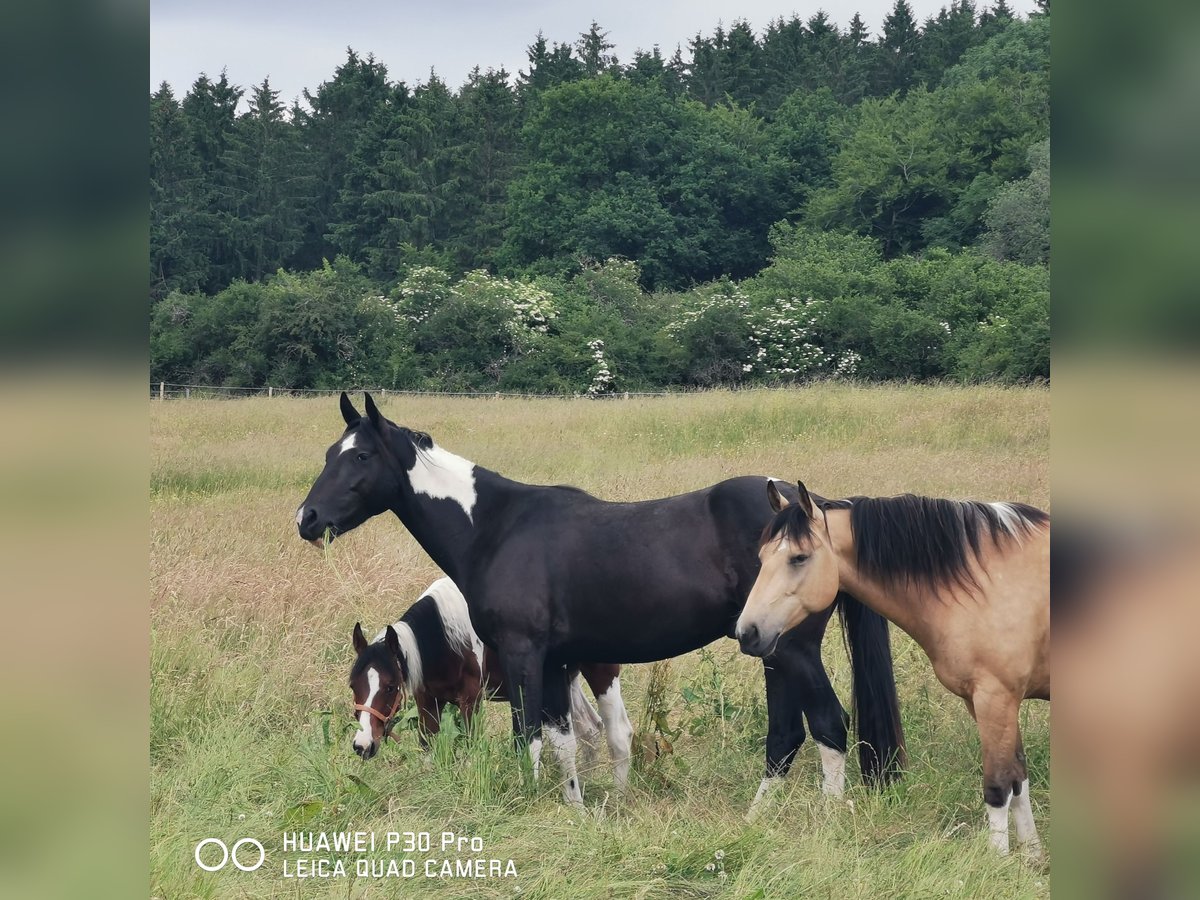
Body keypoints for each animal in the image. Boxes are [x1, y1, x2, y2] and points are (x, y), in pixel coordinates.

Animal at [349, 577, 633, 791]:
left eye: (390, 687)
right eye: (353, 686)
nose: (363, 745)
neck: (445, 635)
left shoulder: (470, 699)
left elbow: (473, 749)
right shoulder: (427, 700)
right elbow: (428, 750)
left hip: (600, 672)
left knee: (619, 732)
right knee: (591, 729)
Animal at [735, 480, 1049, 857]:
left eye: (799, 557)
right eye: (762, 558)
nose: (747, 633)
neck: (988, 580)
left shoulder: (995, 699)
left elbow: (999, 787)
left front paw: (998, 861)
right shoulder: (988, 703)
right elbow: (1019, 781)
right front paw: (1032, 856)